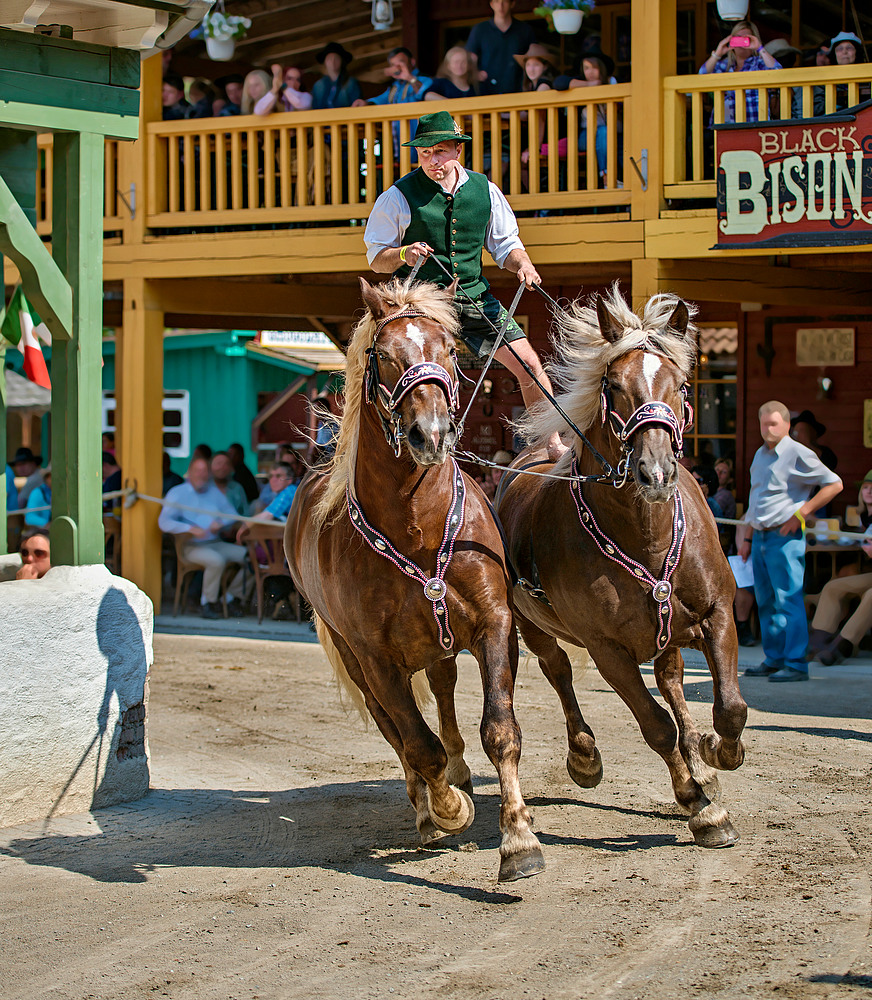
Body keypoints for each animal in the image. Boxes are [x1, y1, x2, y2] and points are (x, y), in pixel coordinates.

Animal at [286, 278, 544, 880]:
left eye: (448, 350)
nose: (431, 434)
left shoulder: (495, 625)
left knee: (444, 693)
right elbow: (418, 744)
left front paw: (519, 839)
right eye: (383, 354)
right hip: (361, 664)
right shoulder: (377, 661)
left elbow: (500, 729)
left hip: (437, 642)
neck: (415, 526)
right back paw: (428, 810)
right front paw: (450, 809)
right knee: (397, 733)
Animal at [500, 286, 744, 848]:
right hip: (534, 626)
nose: (655, 471)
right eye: (613, 385)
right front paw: (696, 803)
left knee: (673, 683)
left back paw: (703, 762)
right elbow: (655, 726)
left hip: (668, 634)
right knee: (559, 670)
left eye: (681, 384)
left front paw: (716, 755)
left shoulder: (718, 613)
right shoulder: (608, 651)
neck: (645, 536)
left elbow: (730, 707)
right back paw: (585, 755)